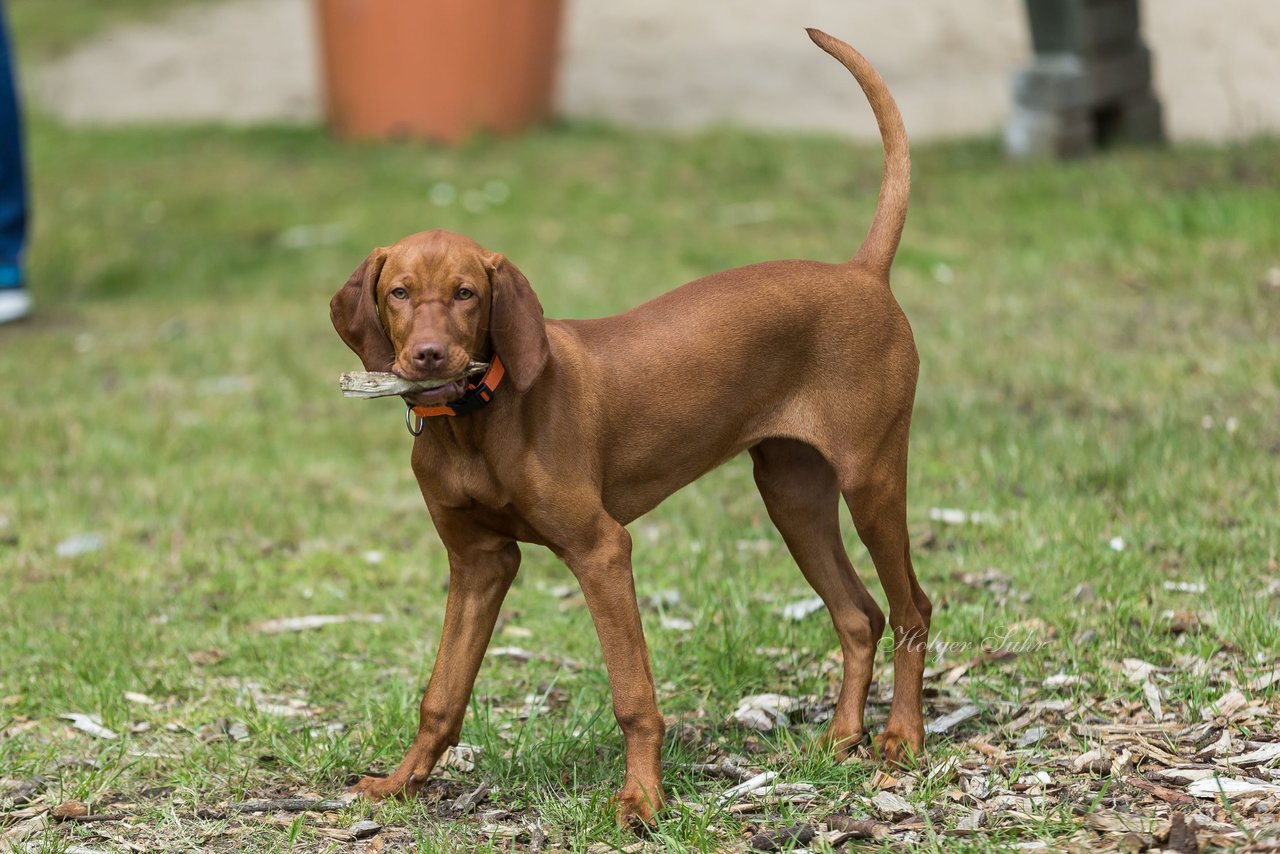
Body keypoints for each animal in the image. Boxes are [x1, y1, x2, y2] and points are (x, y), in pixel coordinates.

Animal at [330, 30, 931, 824]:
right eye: (398, 293)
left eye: (466, 295)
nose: (429, 356)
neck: (474, 424)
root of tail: (862, 273)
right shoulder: (478, 562)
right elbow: (442, 694)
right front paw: (402, 782)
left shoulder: (602, 551)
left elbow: (633, 696)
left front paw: (643, 797)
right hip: (792, 494)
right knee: (859, 614)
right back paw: (841, 738)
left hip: (870, 479)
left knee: (912, 608)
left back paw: (902, 738)